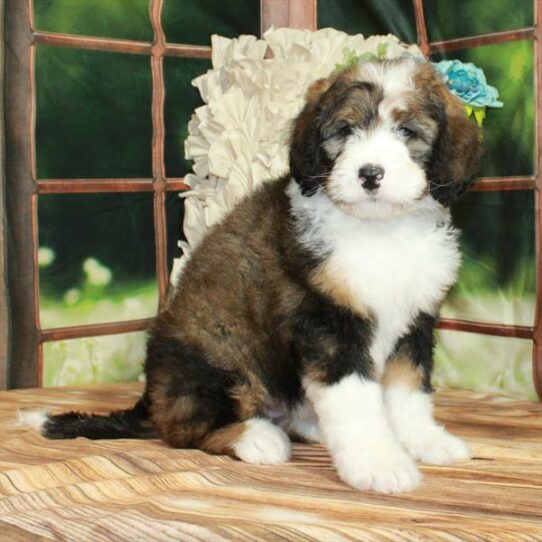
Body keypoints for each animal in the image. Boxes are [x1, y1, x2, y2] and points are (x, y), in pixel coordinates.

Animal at [34, 57, 484, 496]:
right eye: (345, 130)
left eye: (407, 131)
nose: (370, 173)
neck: (381, 230)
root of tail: (151, 398)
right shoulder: (327, 325)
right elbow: (355, 400)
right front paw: (378, 464)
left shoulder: (414, 322)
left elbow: (409, 390)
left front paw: (425, 440)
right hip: (216, 358)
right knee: (185, 429)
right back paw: (257, 438)